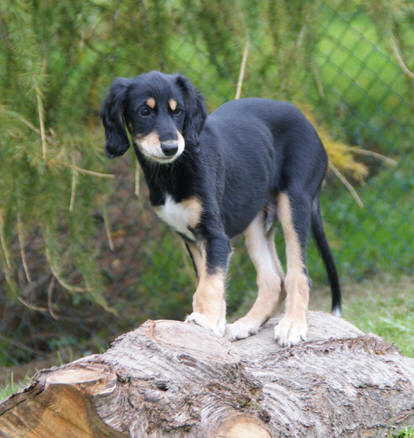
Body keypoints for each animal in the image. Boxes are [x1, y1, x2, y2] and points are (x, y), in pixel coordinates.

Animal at [101, 71, 341, 346]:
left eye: (178, 111)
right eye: (144, 111)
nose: (171, 147)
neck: (173, 170)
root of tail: (309, 124)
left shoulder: (213, 234)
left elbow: (209, 283)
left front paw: (205, 319)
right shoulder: (191, 237)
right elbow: (206, 279)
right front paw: (215, 321)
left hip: (294, 201)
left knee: (297, 274)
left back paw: (292, 325)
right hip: (255, 218)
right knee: (273, 280)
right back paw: (247, 324)